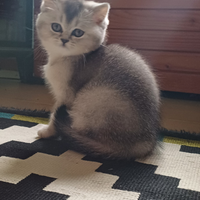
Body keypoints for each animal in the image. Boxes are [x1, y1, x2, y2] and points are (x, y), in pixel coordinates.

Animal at [36, 0, 161, 159]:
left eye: (78, 32)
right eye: (56, 27)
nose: (64, 40)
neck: (66, 57)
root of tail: (143, 142)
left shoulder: (66, 95)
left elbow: (54, 115)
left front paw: (47, 132)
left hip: (92, 97)